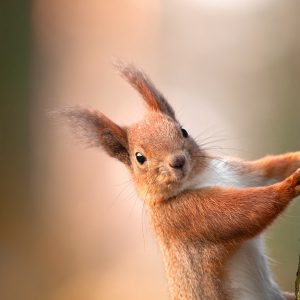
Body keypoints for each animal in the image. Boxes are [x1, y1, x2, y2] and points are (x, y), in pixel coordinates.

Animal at [61, 63, 300, 300]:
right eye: (139, 158)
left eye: (183, 130)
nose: (178, 161)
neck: (199, 179)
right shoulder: (184, 217)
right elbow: (246, 212)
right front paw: (290, 184)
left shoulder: (239, 173)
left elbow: (270, 168)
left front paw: (296, 160)